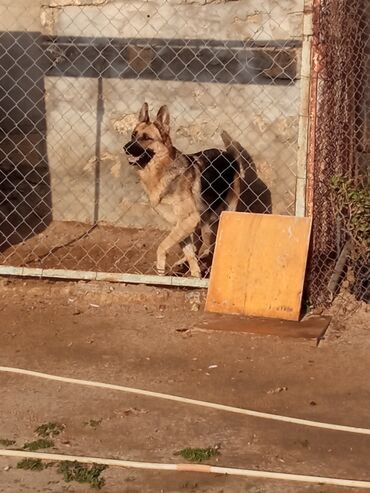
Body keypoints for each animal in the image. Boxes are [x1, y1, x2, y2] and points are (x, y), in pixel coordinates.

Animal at [123, 102, 246, 276]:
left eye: (146, 138)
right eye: (133, 135)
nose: (125, 147)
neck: (162, 170)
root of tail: (228, 155)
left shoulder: (189, 220)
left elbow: (162, 246)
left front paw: (161, 269)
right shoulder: (182, 223)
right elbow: (189, 253)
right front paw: (195, 275)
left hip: (225, 212)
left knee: (213, 242)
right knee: (199, 243)